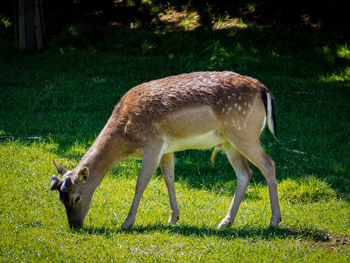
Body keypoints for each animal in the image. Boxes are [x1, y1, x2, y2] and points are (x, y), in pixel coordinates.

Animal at [49, 71, 282, 230]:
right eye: (60, 199)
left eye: (76, 198)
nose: (74, 225)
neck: (125, 137)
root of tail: (263, 90)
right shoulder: (167, 149)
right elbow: (169, 178)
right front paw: (173, 218)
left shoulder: (153, 144)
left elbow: (141, 182)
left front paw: (126, 223)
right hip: (228, 142)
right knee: (245, 172)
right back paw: (225, 222)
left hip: (244, 134)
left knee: (269, 164)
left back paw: (274, 221)